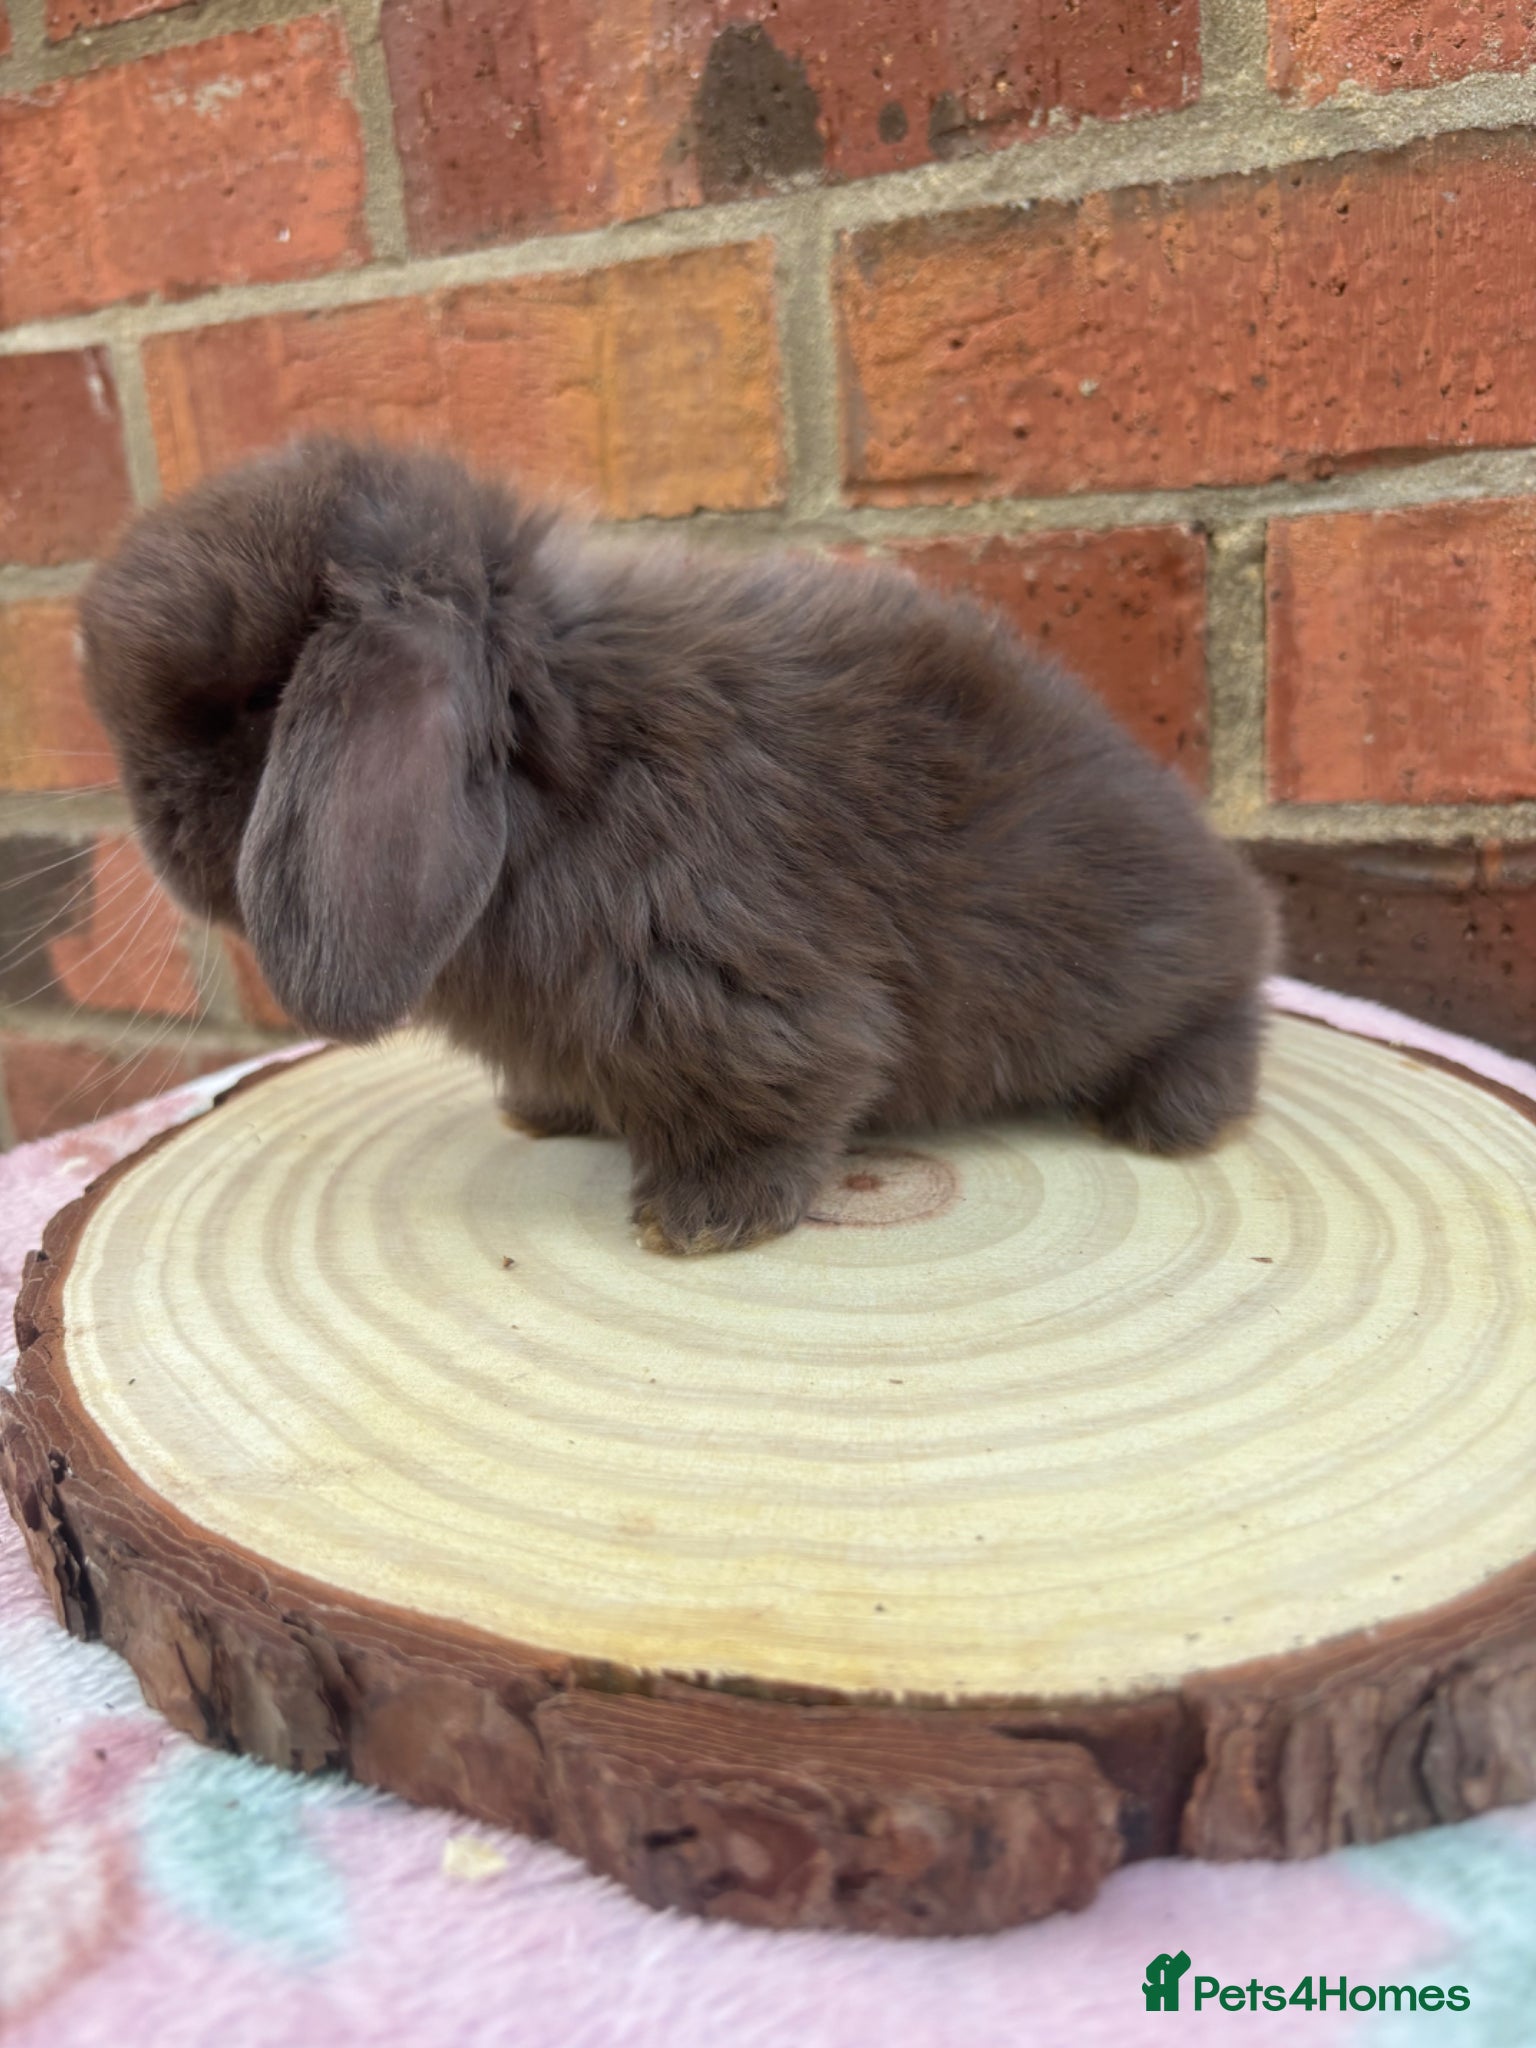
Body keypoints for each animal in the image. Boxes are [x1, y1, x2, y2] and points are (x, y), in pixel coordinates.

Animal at [78, 435, 1279, 1255]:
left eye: (258, 700)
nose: (151, 824)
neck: (563, 763)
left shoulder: (733, 993)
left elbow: (780, 1093)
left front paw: (702, 1219)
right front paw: (543, 1113)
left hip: (1165, 965)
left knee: (1222, 1017)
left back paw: (1166, 1119)